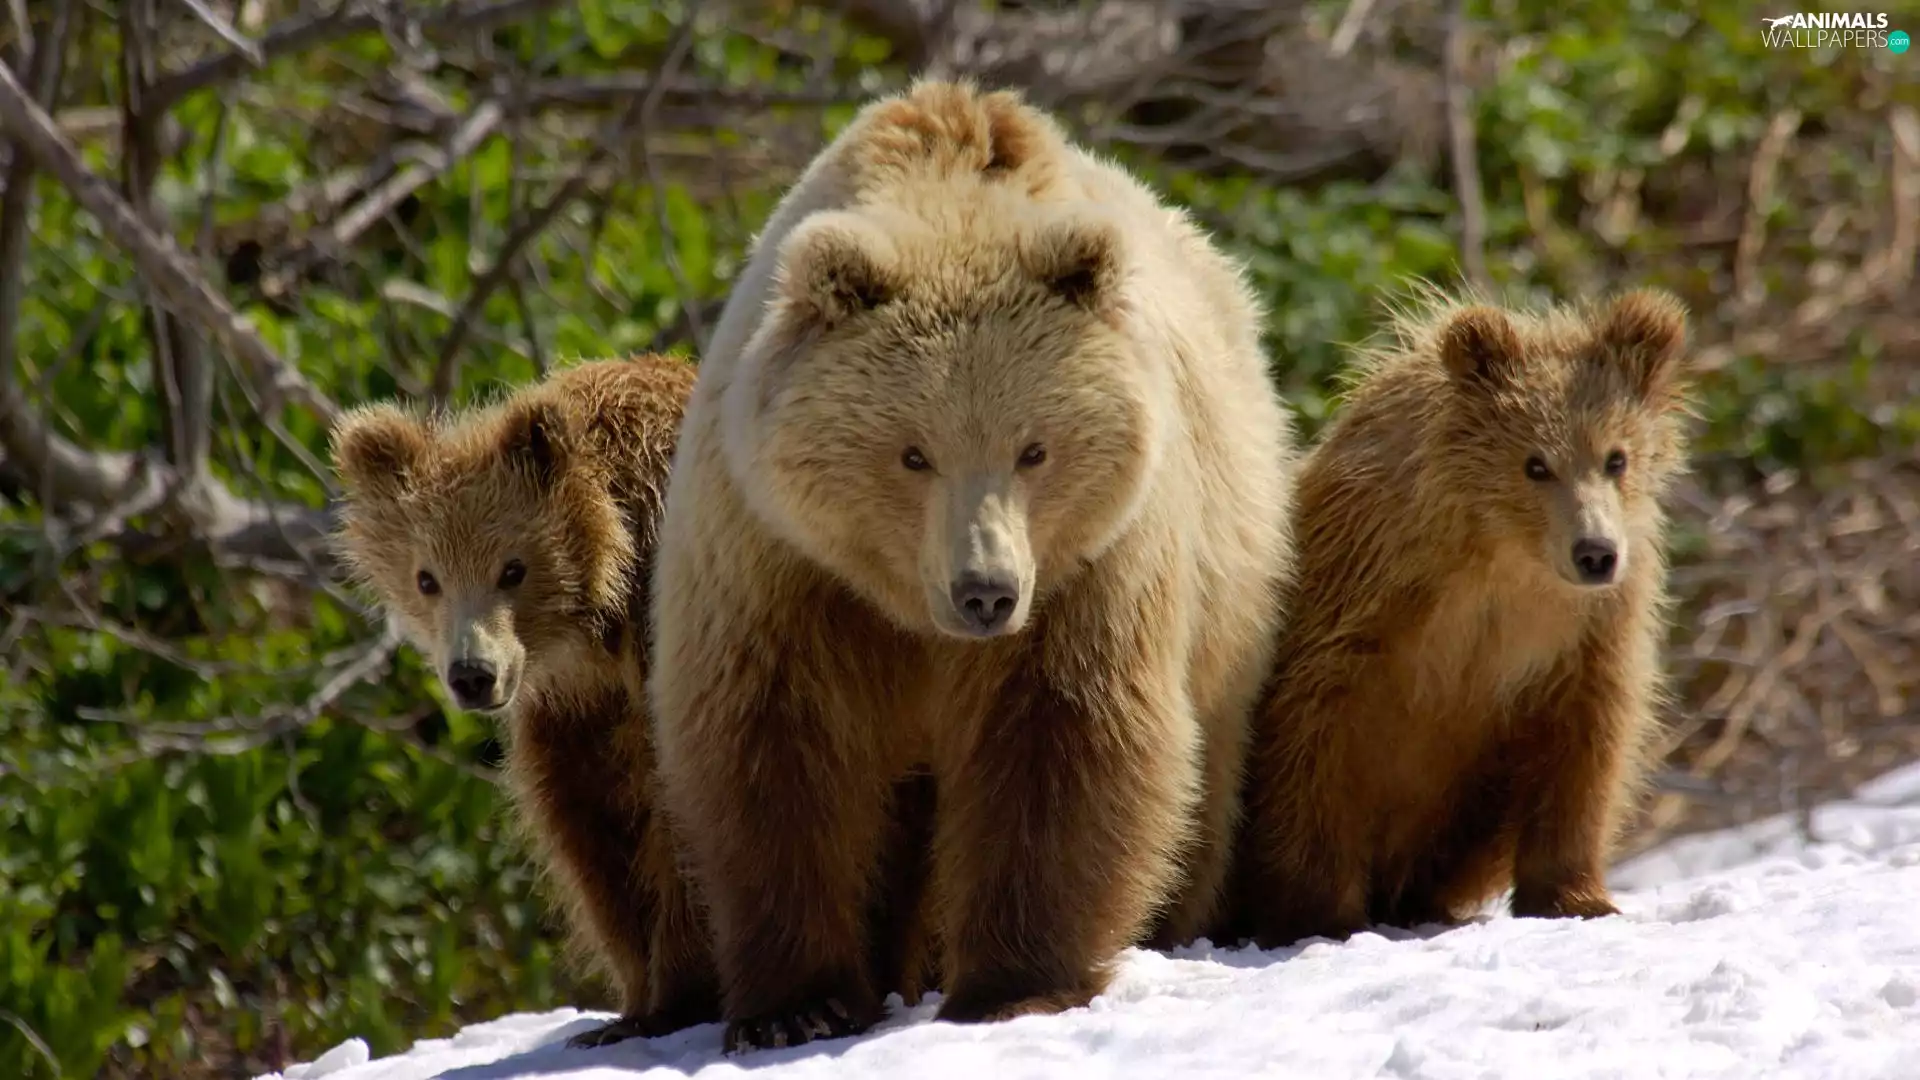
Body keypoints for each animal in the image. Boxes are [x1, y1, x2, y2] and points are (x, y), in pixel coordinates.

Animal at [647, 79, 1297, 1054]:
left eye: (1034, 448)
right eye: (913, 453)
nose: (985, 591)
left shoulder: (1089, 568)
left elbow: (1062, 737)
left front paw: (1014, 985)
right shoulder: (779, 563)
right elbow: (775, 748)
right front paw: (796, 1004)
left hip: (1230, 589)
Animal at [1225, 287, 1693, 949]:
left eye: (1616, 457)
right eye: (1535, 464)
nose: (1595, 552)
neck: (1503, 561)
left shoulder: (1585, 635)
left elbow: (1585, 748)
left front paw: (1577, 897)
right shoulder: (1362, 605)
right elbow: (1314, 742)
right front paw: (1318, 914)